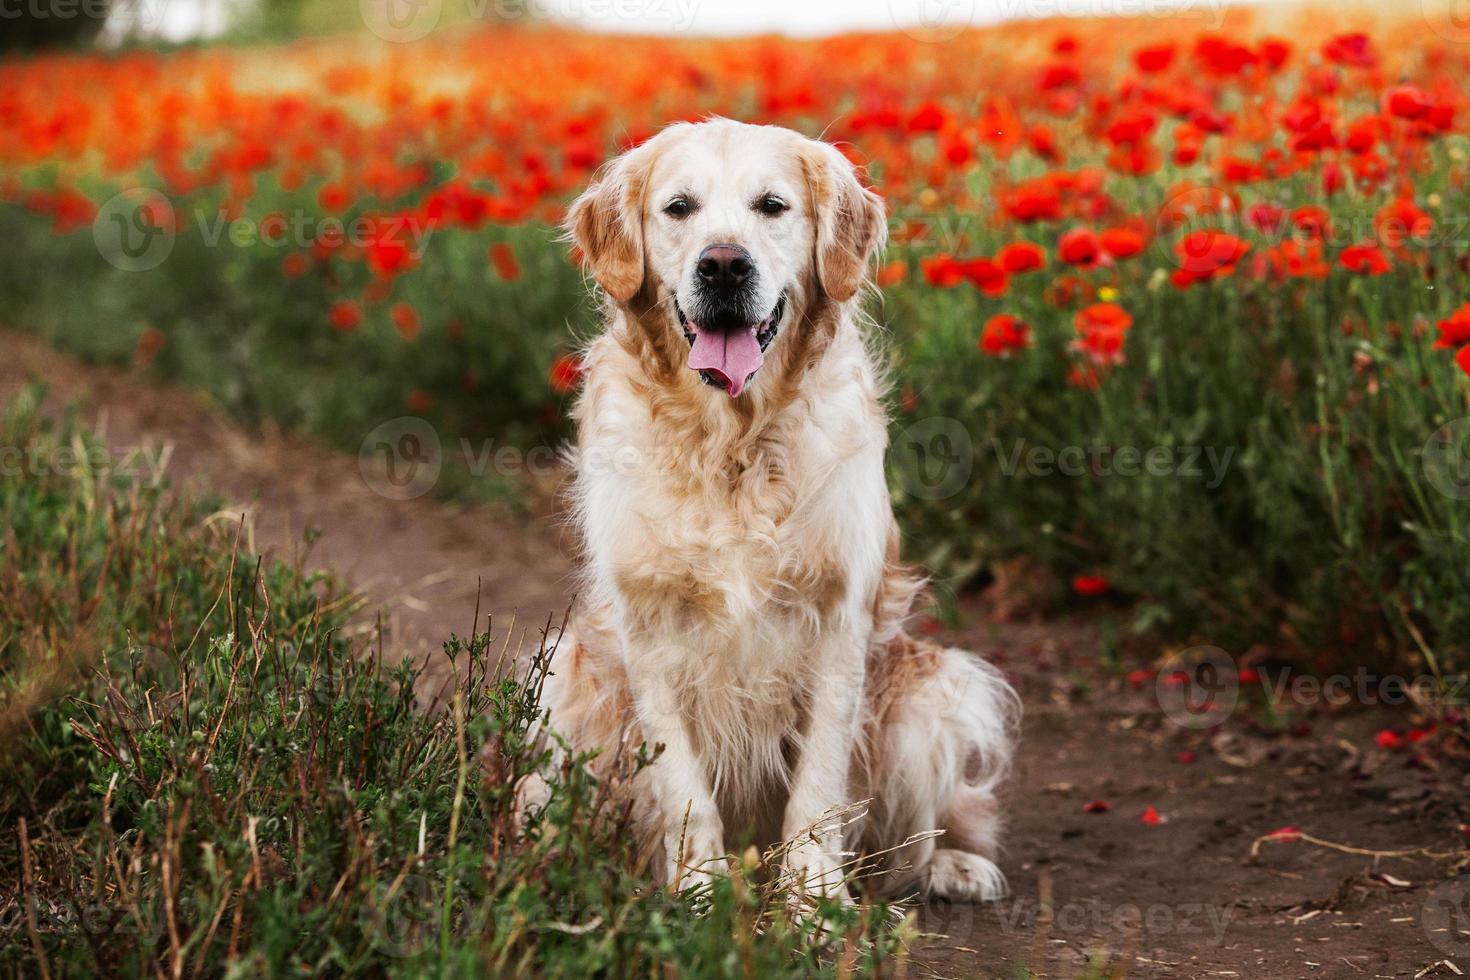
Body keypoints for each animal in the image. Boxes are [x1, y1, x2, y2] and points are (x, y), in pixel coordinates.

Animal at [529, 119, 1023, 899]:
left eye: (772, 206)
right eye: (679, 207)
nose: (724, 266)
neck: (732, 442)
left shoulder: (838, 621)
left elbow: (818, 787)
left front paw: (815, 901)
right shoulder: (647, 627)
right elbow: (683, 783)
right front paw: (698, 890)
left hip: (936, 695)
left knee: (909, 839)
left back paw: (952, 864)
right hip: (561, 676)